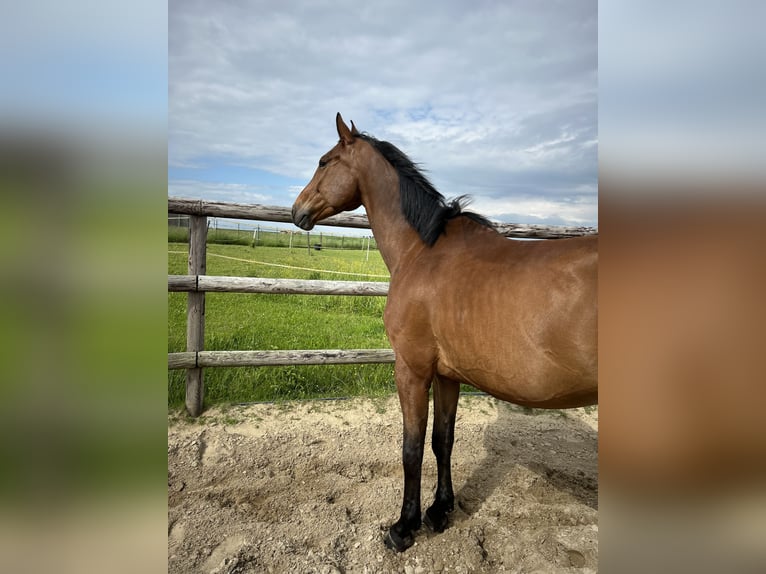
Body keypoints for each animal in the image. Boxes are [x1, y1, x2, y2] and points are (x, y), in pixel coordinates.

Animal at [292, 113, 596, 552]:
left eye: (323, 161)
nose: (296, 210)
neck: (423, 252)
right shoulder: (447, 374)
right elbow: (442, 440)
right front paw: (440, 510)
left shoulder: (412, 370)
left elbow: (412, 447)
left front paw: (403, 527)